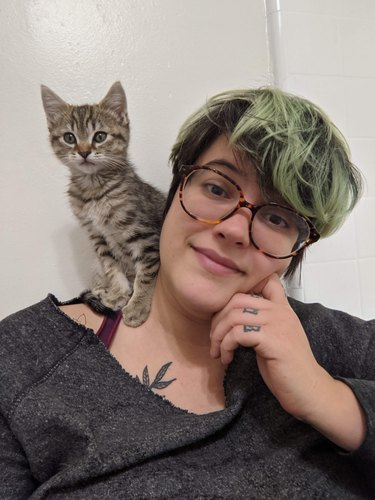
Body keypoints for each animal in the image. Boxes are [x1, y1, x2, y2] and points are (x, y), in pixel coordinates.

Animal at [40, 80, 167, 326]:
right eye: (69, 137)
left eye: (99, 136)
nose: (84, 152)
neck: (94, 192)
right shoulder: (97, 235)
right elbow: (110, 266)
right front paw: (118, 292)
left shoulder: (144, 235)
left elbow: (146, 272)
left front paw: (138, 304)